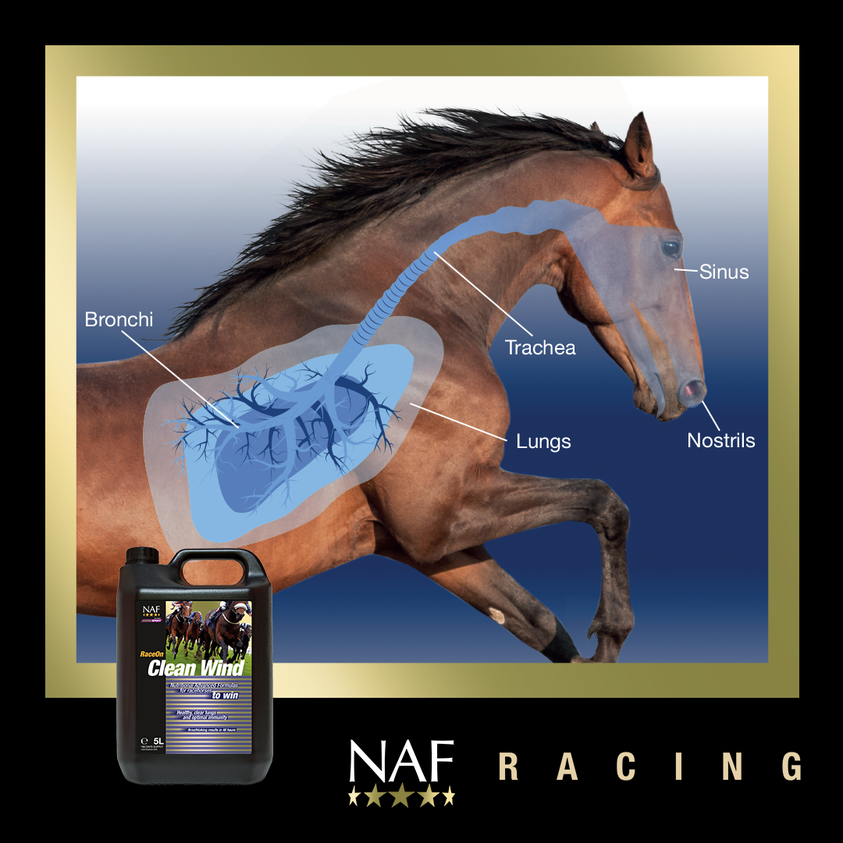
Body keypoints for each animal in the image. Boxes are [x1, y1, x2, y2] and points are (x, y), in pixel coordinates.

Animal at [76, 109, 705, 663]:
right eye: (671, 245)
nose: (690, 389)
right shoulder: (442, 514)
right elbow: (605, 502)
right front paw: (613, 632)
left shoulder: (422, 543)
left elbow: (544, 626)